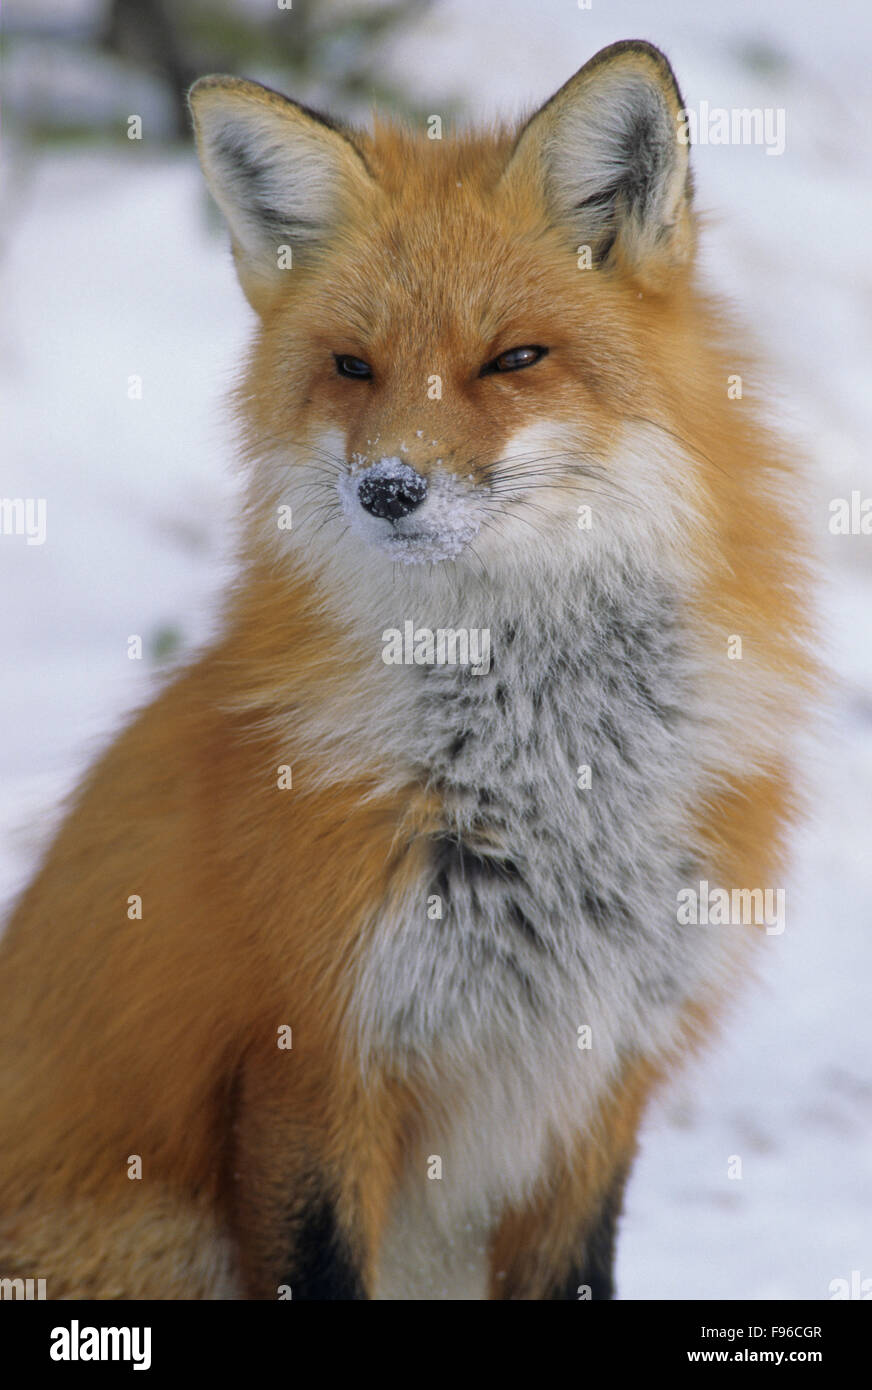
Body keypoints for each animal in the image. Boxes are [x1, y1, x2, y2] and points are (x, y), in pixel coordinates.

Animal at [0, 40, 813, 1300]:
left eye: (512, 358)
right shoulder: (311, 1063)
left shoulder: (598, 1085)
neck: (545, 781)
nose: (387, 488)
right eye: (352, 367)